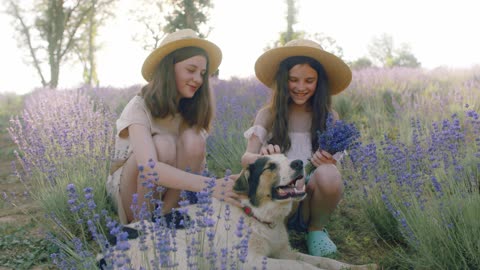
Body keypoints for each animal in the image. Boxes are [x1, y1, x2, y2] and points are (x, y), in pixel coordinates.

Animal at [98, 155, 376, 268]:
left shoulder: (284, 251)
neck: (257, 217)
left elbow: (323, 261)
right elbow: (303, 267)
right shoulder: (252, 260)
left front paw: (360, 266)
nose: (299, 163)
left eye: (288, 159)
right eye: (270, 166)